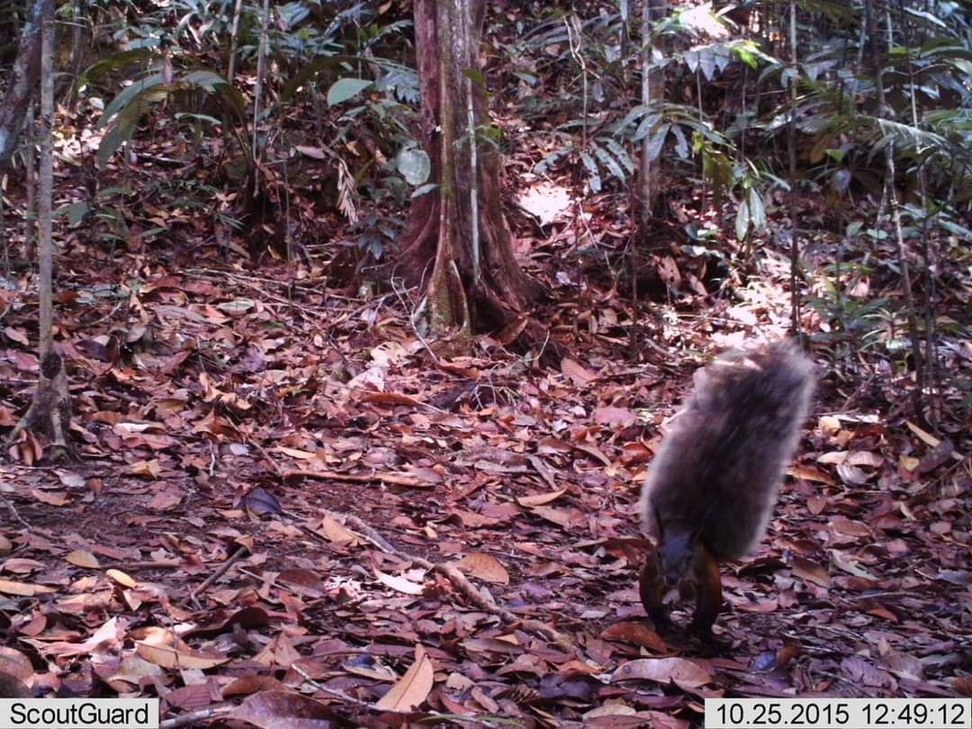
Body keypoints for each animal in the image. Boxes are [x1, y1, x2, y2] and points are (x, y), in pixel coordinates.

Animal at [638, 341, 815, 636]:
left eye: (689, 557)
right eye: (660, 552)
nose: (672, 577)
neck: (682, 528)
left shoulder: (704, 570)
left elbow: (709, 604)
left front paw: (695, 631)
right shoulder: (653, 569)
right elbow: (649, 597)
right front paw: (662, 622)